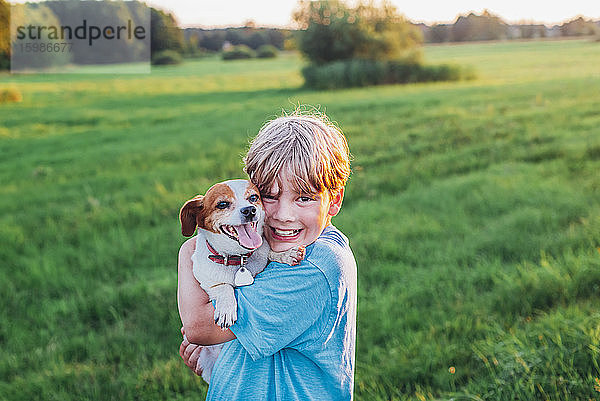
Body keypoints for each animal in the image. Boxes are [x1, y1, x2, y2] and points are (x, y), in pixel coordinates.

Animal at [179, 179, 304, 382]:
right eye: (222, 204)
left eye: (253, 198)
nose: (249, 210)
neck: (238, 258)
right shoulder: (205, 280)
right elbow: (223, 287)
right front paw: (226, 309)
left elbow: (268, 251)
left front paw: (285, 254)